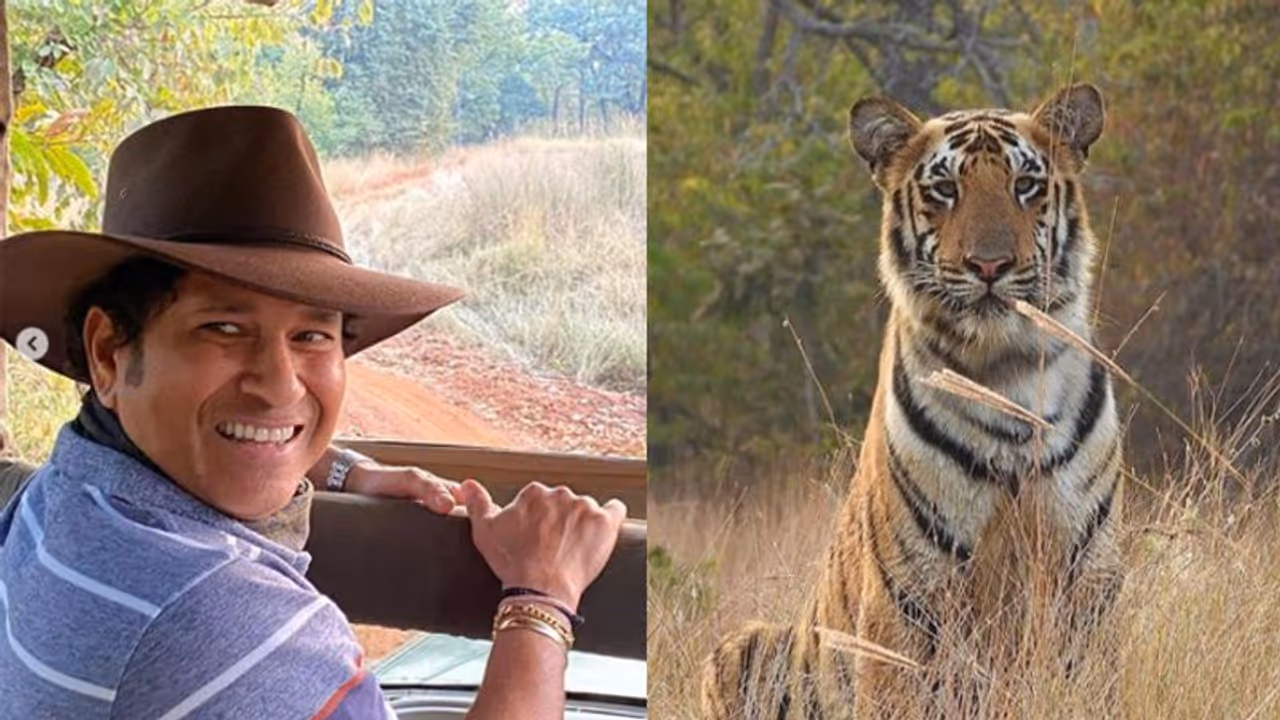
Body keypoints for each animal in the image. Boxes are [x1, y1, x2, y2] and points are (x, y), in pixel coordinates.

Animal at [700, 84, 1124, 719]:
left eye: (1026, 185)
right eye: (945, 190)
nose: (989, 265)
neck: (1004, 374)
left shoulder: (1086, 573)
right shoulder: (908, 598)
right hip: (739, 647)